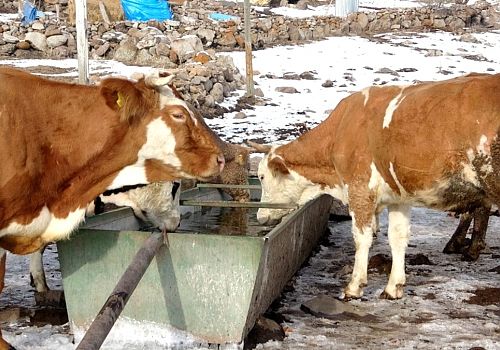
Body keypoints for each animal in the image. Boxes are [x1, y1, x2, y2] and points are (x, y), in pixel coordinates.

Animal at [252, 73, 500, 300]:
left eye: (262, 177)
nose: (260, 216)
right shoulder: (399, 197)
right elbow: (397, 237)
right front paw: (393, 287)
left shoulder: (360, 188)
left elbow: (361, 238)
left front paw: (354, 286)